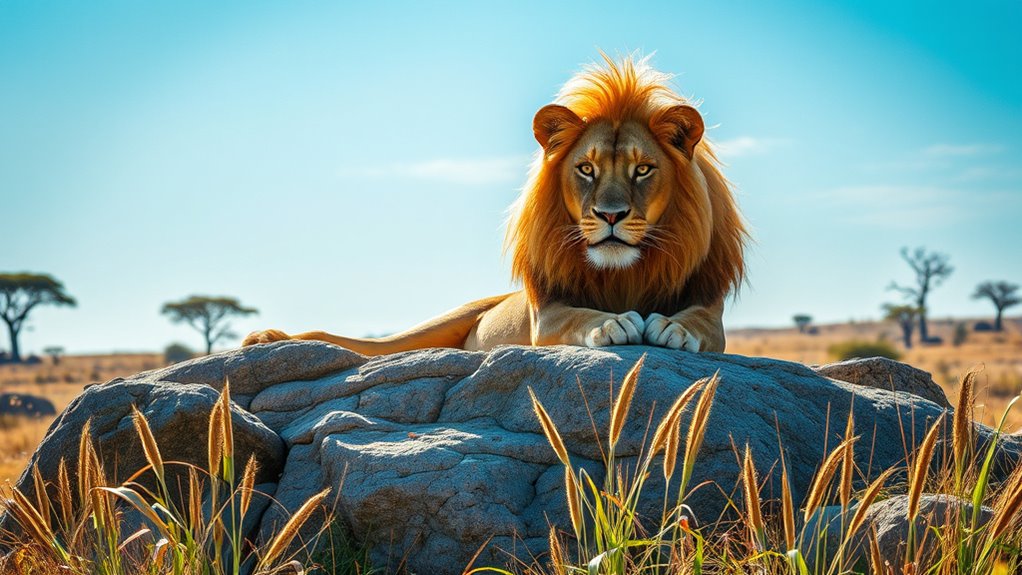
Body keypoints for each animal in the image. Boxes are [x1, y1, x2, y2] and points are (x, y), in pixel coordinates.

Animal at [243, 55, 747, 355]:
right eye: (586, 169)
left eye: (643, 169)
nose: (610, 215)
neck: (624, 273)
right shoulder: (547, 313)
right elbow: (579, 314)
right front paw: (611, 325)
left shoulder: (711, 305)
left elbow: (702, 323)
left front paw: (674, 329)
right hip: (436, 325)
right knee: (355, 344)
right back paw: (266, 337)